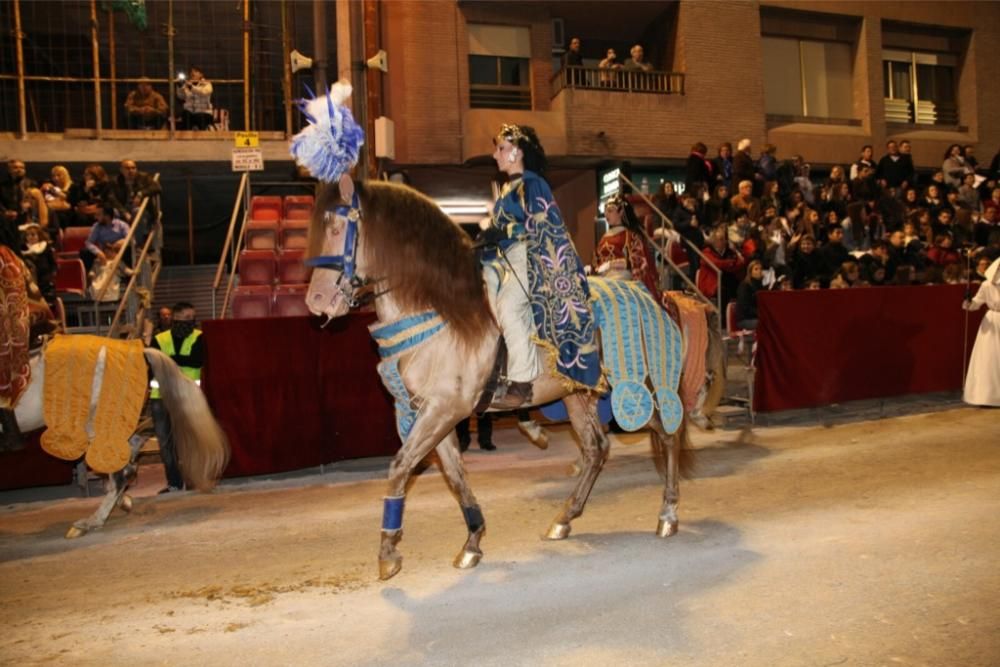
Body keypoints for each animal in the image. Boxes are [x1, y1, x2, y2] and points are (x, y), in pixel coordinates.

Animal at [308, 181, 692, 580]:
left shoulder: (444, 409)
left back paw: (668, 513)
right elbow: (454, 474)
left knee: (668, 432)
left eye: (335, 228)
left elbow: (401, 465)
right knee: (596, 448)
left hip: (633, 391)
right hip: (579, 395)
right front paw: (472, 540)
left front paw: (388, 552)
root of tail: (653, 297)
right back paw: (565, 518)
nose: (316, 300)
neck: (443, 314)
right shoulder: (433, 413)